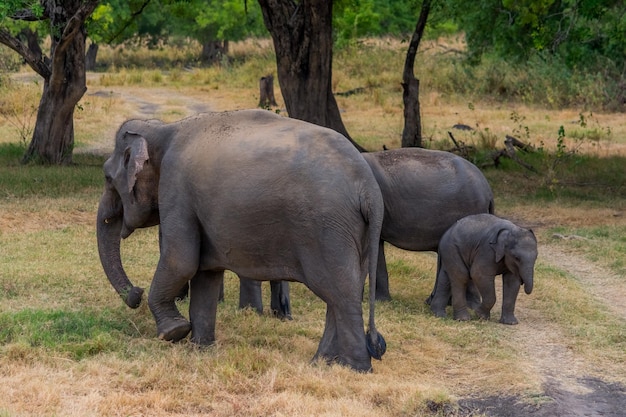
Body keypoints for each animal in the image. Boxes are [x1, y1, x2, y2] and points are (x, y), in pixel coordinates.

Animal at [96, 108, 386, 370]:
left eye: (107, 177)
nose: (136, 293)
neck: (163, 129)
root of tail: (368, 188)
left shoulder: (176, 188)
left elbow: (181, 261)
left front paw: (174, 332)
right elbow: (205, 274)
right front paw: (200, 349)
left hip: (328, 229)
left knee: (340, 292)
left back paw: (354, 368)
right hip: (353, 232)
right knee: (342, 290)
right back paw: (322, 363)